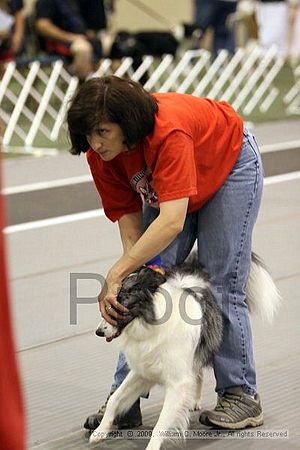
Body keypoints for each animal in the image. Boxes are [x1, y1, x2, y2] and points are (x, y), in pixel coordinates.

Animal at [91, 255, 282, 448]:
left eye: (117, 306)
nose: (98, 332)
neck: (150, 322)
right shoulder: (143, 371)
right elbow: (115, 398)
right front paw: (100, 432)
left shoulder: (177, 382)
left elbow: (161, 423)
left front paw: (152, 447)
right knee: (197, 373)